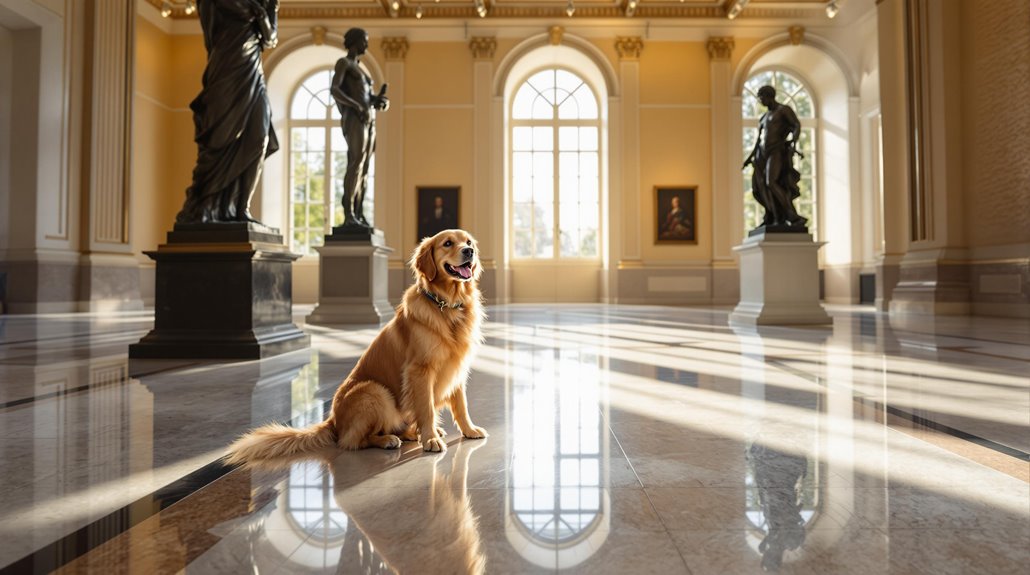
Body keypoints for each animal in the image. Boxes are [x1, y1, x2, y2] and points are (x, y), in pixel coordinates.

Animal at [227, 229, 484, 463]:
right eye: (447, 243)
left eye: (469, 241)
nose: (469, 251)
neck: (447, 305)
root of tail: (333, 421)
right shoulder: (419, 370)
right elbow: (427, 409)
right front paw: (430, 439)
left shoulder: (457, 368)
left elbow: (461, 406)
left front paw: (469, 430)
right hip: (374, 391)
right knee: (352, 440)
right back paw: (388, 439)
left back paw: (411, 433)